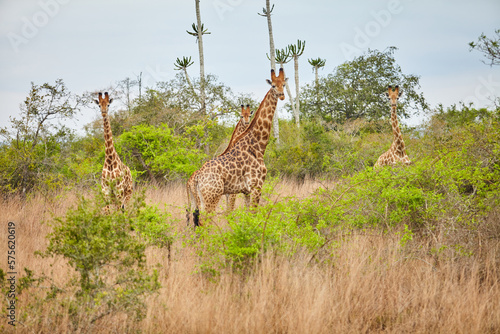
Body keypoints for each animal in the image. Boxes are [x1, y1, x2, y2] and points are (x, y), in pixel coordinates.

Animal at [187, 68, 290, 226]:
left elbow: (247, 216)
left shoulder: (246, 191)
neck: (258, 145)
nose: (282, 95)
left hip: (199, 199)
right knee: (204, 222)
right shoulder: (256, 186)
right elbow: (250, 215)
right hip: (212, 197)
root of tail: (197, 177)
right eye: (273, 85)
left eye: (284, 84)